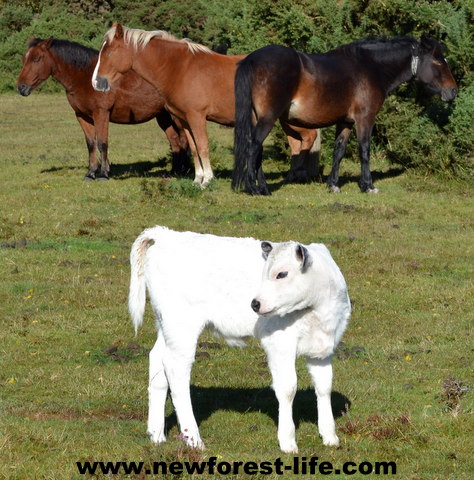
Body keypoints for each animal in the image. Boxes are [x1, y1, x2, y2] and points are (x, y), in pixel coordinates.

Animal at [18, 37, 189, 180]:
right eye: (25, 58)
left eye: (36, 59)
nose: (21, 88)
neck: (85, 77)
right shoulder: (82, 116)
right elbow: (91, 144)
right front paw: (91, 173)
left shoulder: (101, 113)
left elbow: (102, 143)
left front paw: (103, 174)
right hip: (163, 116)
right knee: (175, 141)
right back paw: (173, 172)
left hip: (176, 116)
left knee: (184, 140)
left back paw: (184, 172)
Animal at [128, 227, 350, 452]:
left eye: (282, 273)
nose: (255, 303)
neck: (317, 312)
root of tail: (166, 234)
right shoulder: (280, 344)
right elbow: (288, 389)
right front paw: (288, 441)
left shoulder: (324, 349)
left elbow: (324, 387)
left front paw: (330, 436)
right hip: (182, 325)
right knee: (176, 369)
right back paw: (194, 439)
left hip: (165, 325)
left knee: (158, 359)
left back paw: (156, 434)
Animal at [231, 35, 458, 195]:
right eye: (438, 62)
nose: (453, 91)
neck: (370, 68)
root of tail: (252, 59)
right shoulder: (365, 119)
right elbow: (364, 149)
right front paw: (368, 185)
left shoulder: (346, 122)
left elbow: (338, 151)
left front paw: (333, 185)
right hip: (268, 119)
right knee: (253, 147)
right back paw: (253, 188)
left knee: (257, 150)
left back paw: (263, 188)